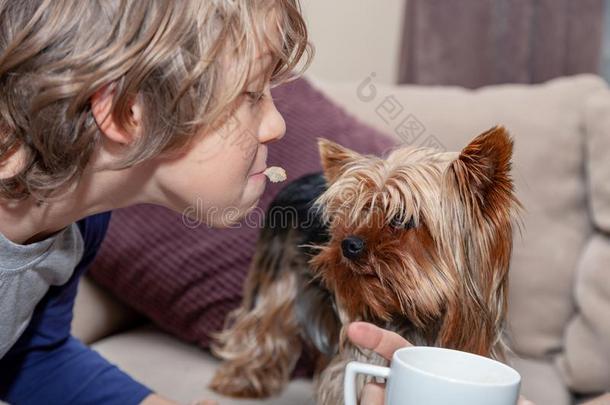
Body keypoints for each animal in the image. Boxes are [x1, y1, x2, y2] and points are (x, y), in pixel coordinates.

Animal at [208, 126, 516, 404]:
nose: (349, 244)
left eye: (401, 217)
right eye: (352, 212)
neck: (420, 318)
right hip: (280, 276)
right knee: (263, 324)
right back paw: (241, 380)